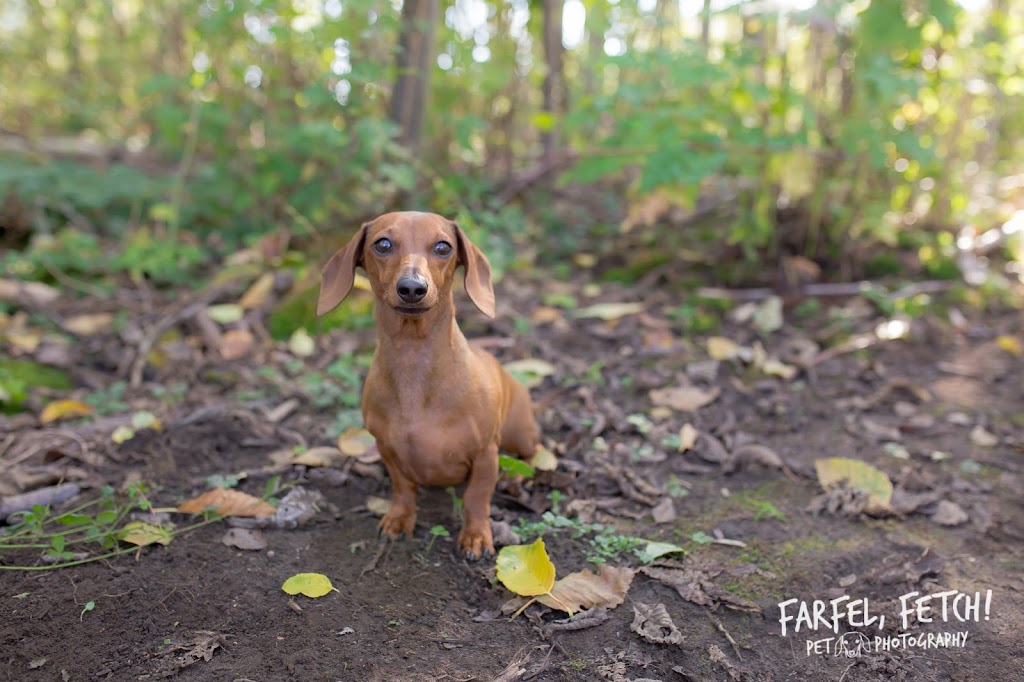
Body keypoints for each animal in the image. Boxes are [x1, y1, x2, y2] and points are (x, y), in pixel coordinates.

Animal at [317, 210, 544, 557]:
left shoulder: (485, 455)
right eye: (382, 243)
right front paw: (399, 520)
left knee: (532, 456)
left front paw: (476, 536)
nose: (412, 288)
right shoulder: (387, 450)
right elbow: (402, 488)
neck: (414, 362)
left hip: (520, 434)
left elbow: (476, 498)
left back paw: (516, 481)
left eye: (443, 247)